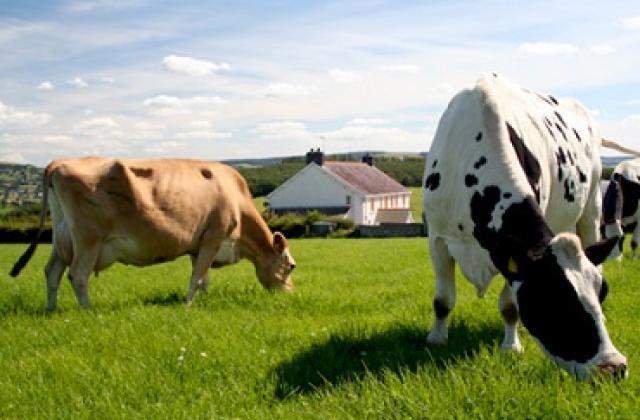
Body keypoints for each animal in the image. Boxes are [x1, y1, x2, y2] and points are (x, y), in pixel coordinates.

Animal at [10, 156, 296, 310]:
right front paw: (187, 305)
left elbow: (202, 278)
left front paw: (201, 299)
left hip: (62, 239)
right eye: (291, 266)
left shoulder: (199, 244)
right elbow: (197, 277)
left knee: (52, 271)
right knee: (77, 274)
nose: (291, 294)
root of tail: (57, 163)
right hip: (88, 238)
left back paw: (51, 309)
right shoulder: (213, 237)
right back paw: (88, 310)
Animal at [422, 74, 628, 378]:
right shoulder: (438, 239)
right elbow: (443, 300)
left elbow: (510, 306)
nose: (614, 367)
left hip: (591, 206)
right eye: (556, 296)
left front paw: (511, 346)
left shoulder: (514, 255)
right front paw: (436, 339)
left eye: (603, 292)